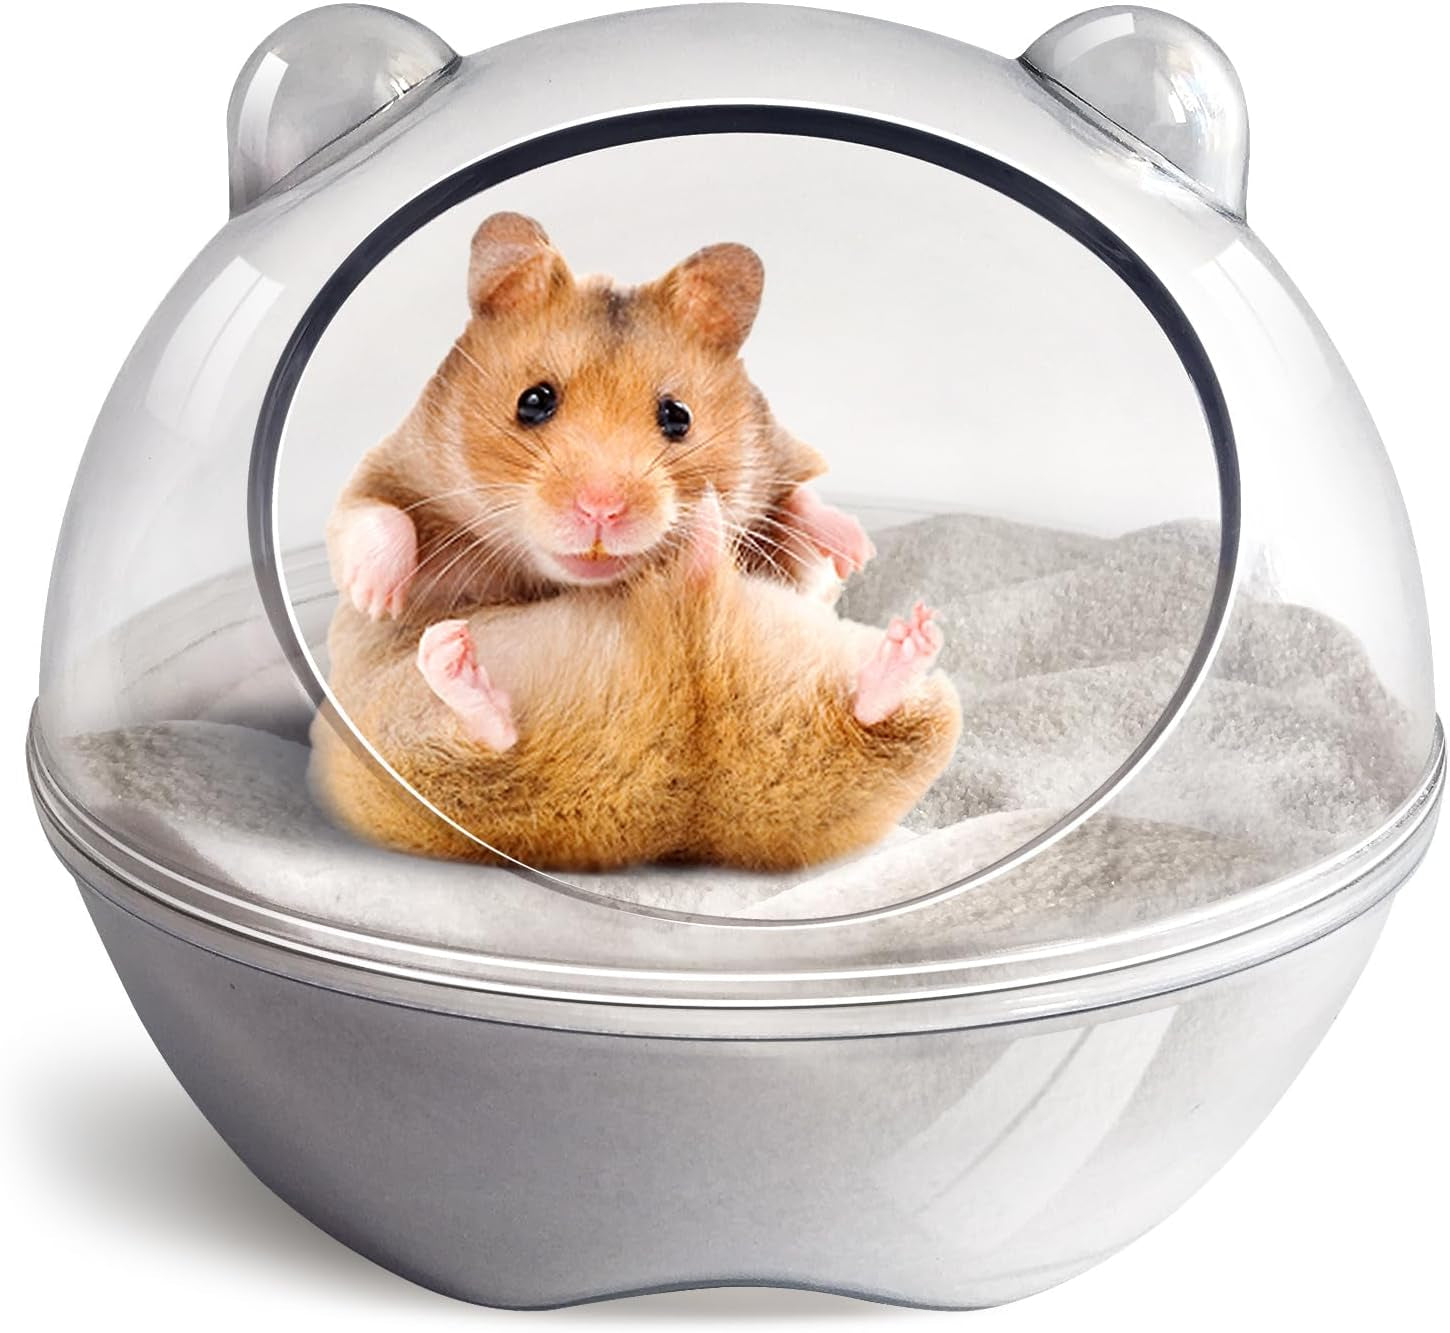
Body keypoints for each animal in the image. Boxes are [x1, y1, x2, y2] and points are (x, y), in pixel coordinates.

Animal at [327, 211, 874, 624]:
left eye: (678, 417)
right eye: (532, 401)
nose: (600, 511)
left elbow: (801, 509)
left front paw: (858, 550)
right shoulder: (389, 466)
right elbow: (374, 514)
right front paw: (375, 600)